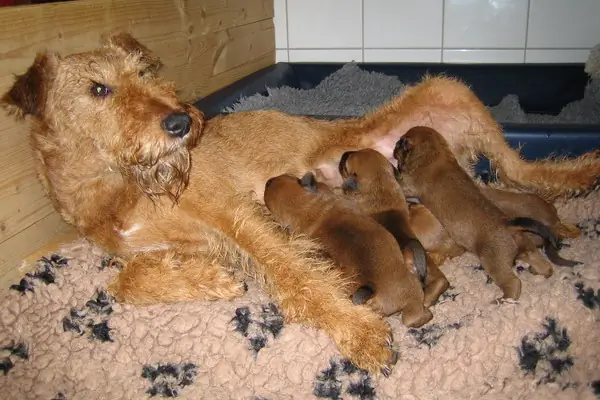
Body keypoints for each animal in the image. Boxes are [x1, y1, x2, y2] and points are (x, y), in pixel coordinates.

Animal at [394, 127, 556, 300]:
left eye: (402, 142)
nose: (396, 144)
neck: (436, 155)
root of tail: (509, 226)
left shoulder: (409, 185)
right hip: (527, 248)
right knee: (543, 264)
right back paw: (538, 272)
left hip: (494, 263)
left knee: (513, 284)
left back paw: (503, 300)